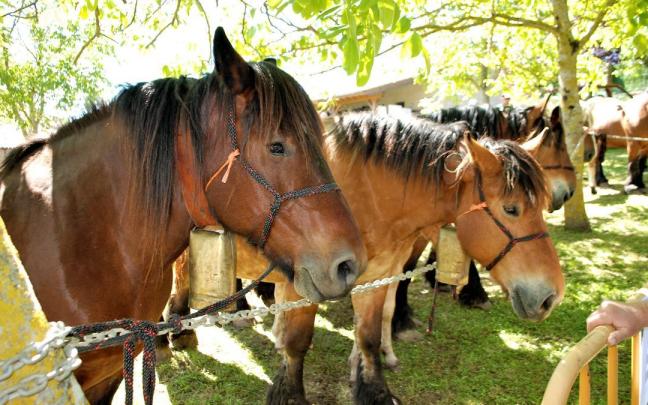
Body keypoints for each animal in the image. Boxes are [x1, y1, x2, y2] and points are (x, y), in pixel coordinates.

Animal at [167, 112, 564, 404]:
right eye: (511, 209)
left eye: (540, 205)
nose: (551, 296)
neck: (366, 193)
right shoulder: (306, 284)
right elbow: (297, 343)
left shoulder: (379, 275)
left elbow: (370, 336)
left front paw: (373, 389)